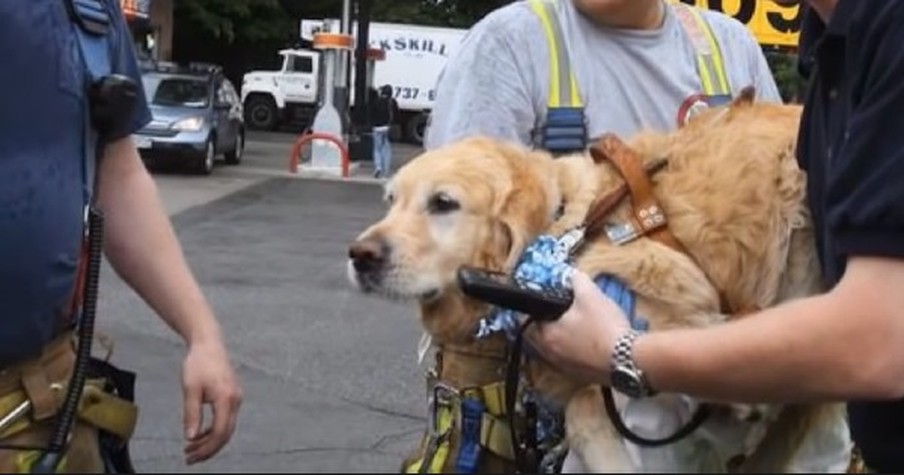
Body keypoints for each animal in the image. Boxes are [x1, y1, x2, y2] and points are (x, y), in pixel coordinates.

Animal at [346, 92, 856, 472]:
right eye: (391, 200)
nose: (359, 256)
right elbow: (583, 411)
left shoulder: (681, 335)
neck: (566, 227)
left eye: (443, 203)